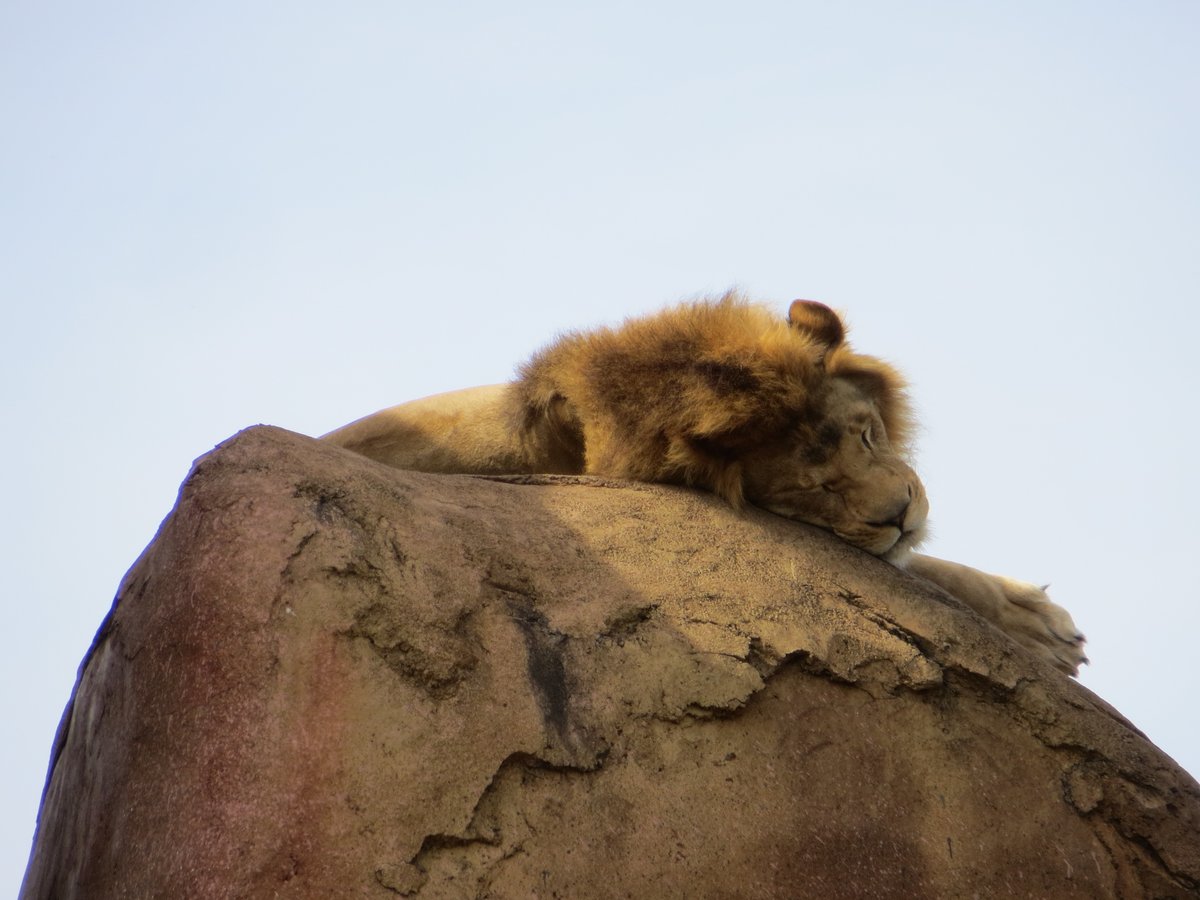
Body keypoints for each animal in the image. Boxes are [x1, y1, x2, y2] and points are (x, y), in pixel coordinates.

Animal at [323, 293, 1087, 675]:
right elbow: (914, 569)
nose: (900, 514)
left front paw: (1037, 620)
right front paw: (1041, 629)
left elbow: (928, 567)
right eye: (813, 491)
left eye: (867, 433)